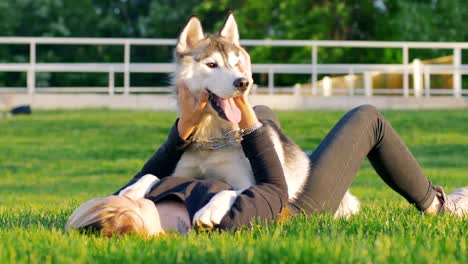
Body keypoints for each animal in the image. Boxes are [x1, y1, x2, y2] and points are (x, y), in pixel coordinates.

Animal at [170, 13, 360, 226]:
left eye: (236, 65)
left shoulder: (247, 182)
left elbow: (228, 192)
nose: (243, 82)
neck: (210, 137)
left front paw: (209, 210)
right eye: (211, 65)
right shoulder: (179, 174)